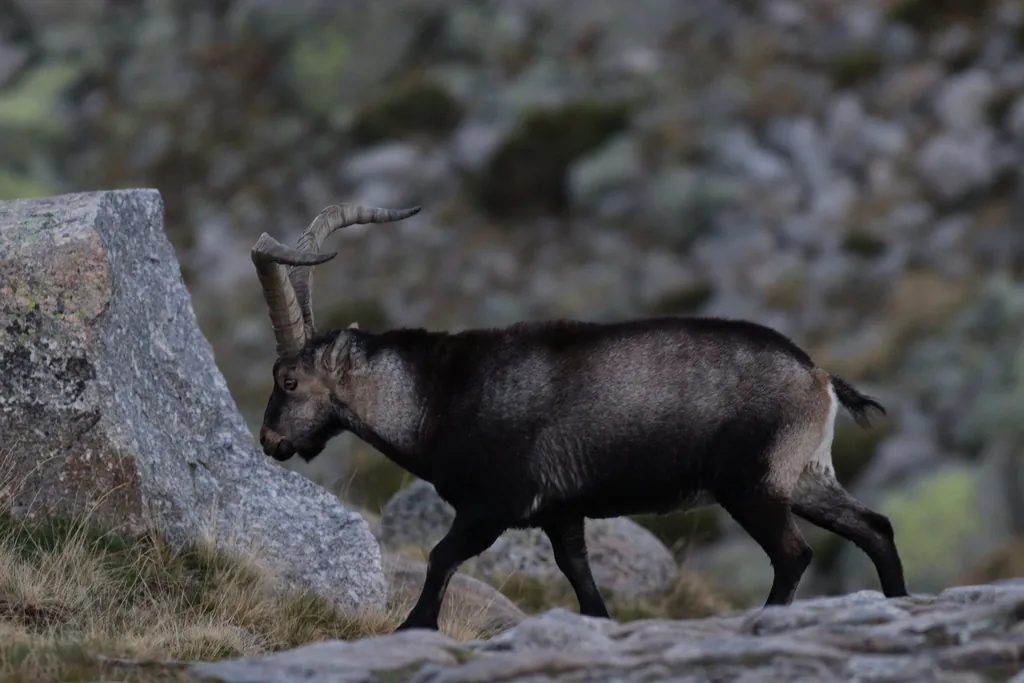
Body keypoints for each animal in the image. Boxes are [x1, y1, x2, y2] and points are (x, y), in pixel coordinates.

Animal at [249, 202, 909, 632]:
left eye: (289, 380)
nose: (269, 440)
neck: (434, 398)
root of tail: (818, 377)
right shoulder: (562, 513)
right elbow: (581, 578)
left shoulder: (495, 506)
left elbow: (440, 557)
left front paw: (414, 629)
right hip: (804, 474)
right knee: (875, 527)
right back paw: (898, 600)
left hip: (753, 485)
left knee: (795, 554)